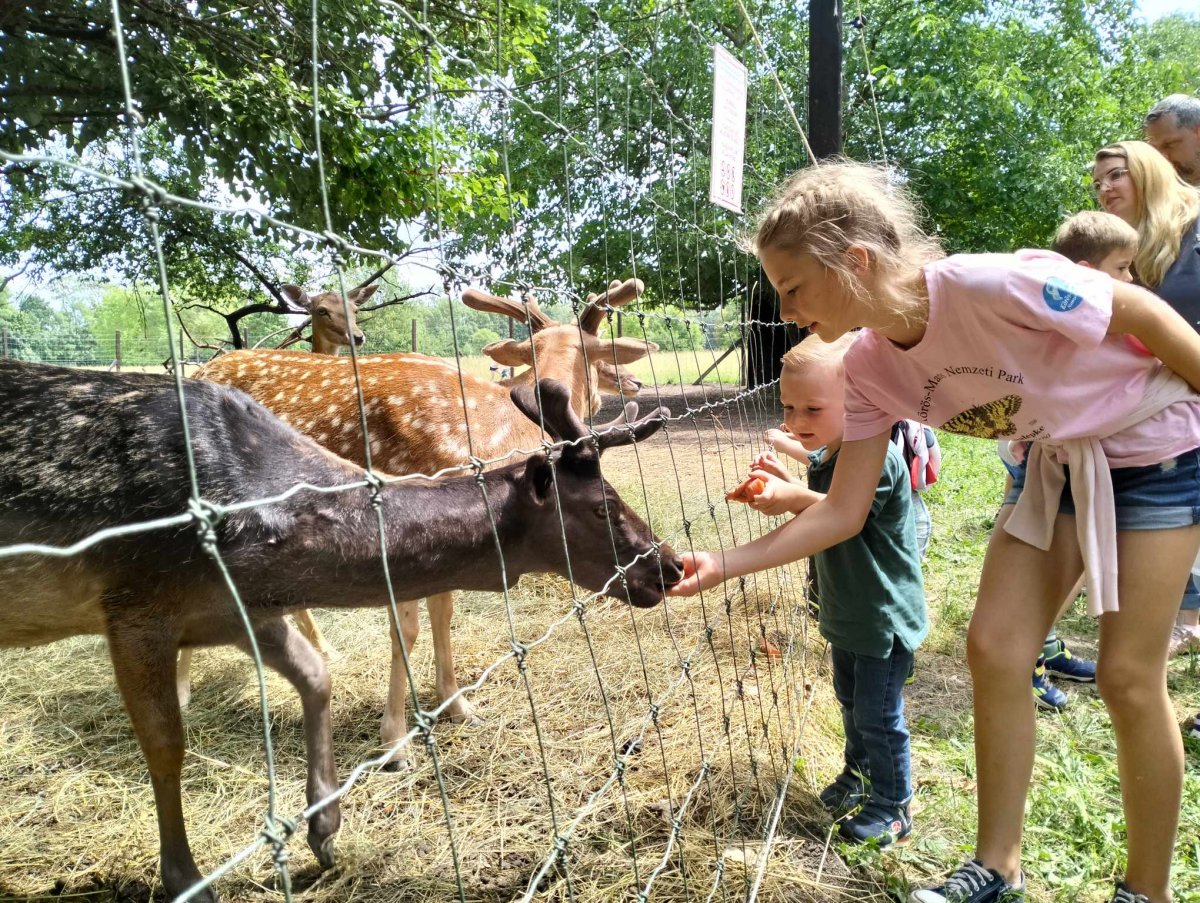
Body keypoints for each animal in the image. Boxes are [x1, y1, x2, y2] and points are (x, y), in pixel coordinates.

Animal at [0, 362, 681, 903]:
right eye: (603, 505)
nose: (669, 565)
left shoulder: (237, 609)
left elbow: (317, 674)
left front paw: (325, 830)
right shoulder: (137, 602)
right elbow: (166, 745)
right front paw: (187, 880)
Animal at [189, 278, 657, 763]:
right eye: (601, 357)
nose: (636, 382)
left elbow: (443, 613)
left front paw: (457, 705)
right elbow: (407, 627)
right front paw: (395, 739)